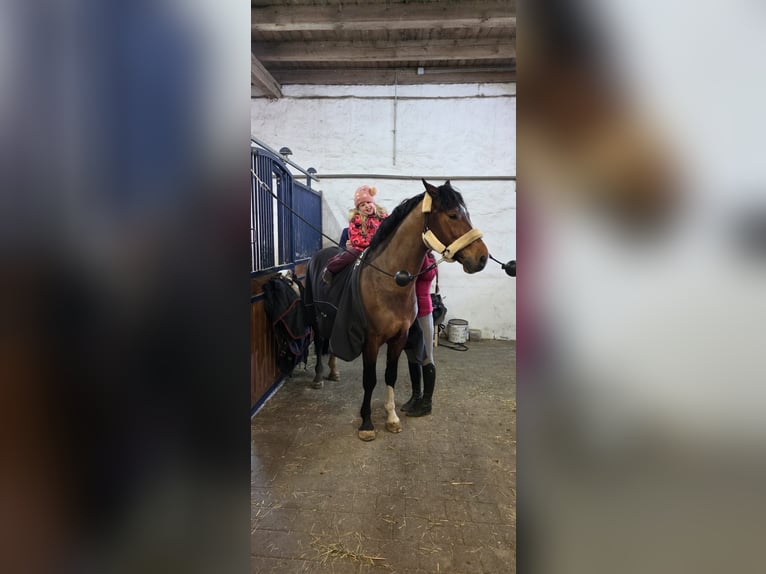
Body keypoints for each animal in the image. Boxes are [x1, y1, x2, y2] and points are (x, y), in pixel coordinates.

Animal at [306, 180, 488, 441]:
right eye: (453, 215)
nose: (482, 258)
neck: (389, 281)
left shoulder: (399, 337)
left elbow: (390, 375)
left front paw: (391, 417)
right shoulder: (371, 340)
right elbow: (370, 379)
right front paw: (367, 423)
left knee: (330, 344)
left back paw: (333, 371)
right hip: (315, 317)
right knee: (321, 341)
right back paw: (319, 376)